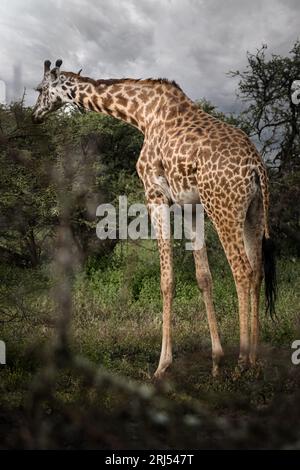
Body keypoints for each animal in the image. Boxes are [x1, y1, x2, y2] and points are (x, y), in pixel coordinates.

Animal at [32, 60, 276, 380]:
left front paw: (163, 364)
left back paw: (243, 362)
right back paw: (256, 361)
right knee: (257, 270)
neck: (142, 114)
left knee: (242, 271)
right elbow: (204, 277)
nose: (35, 115)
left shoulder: (155, 193)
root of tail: (256, 167)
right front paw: (216, 360)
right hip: (253, 212)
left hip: (224, 207)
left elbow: (166, 279)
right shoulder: (190, 205)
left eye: (40, 89)